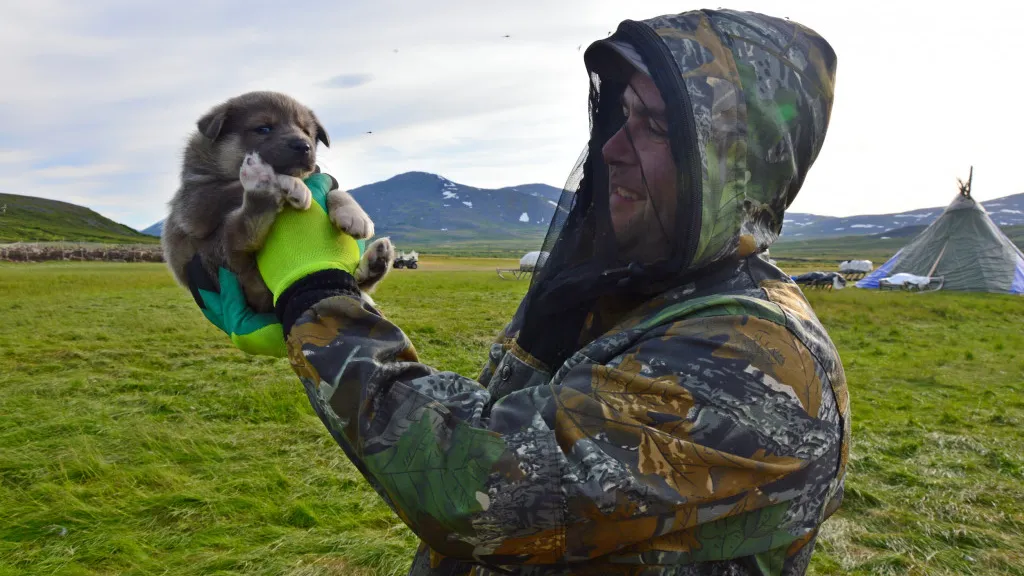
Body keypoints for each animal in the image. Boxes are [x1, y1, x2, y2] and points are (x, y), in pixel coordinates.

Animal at [159, 90, 391, 313]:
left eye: (307, 132)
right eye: (263, 128)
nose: (304, 146)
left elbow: (336, 190)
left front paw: (355, 215)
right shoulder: (197, 202)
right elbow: (236, 186)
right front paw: (290, 182)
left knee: (359, 284)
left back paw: (378, 260)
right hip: (213, 256)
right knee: (239, 233)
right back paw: (261, 184)